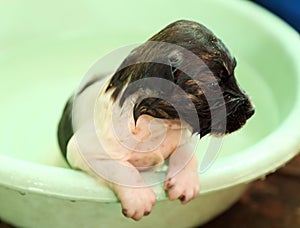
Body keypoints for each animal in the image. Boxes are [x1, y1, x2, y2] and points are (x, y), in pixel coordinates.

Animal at [56, 20, 253, 221]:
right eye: (214, 85)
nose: (251, 111)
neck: (156, 124)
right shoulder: (83, 149)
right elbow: (121, 168)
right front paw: (138, 197)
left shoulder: (185, 131)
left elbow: (186, 152)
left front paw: (185, 182)